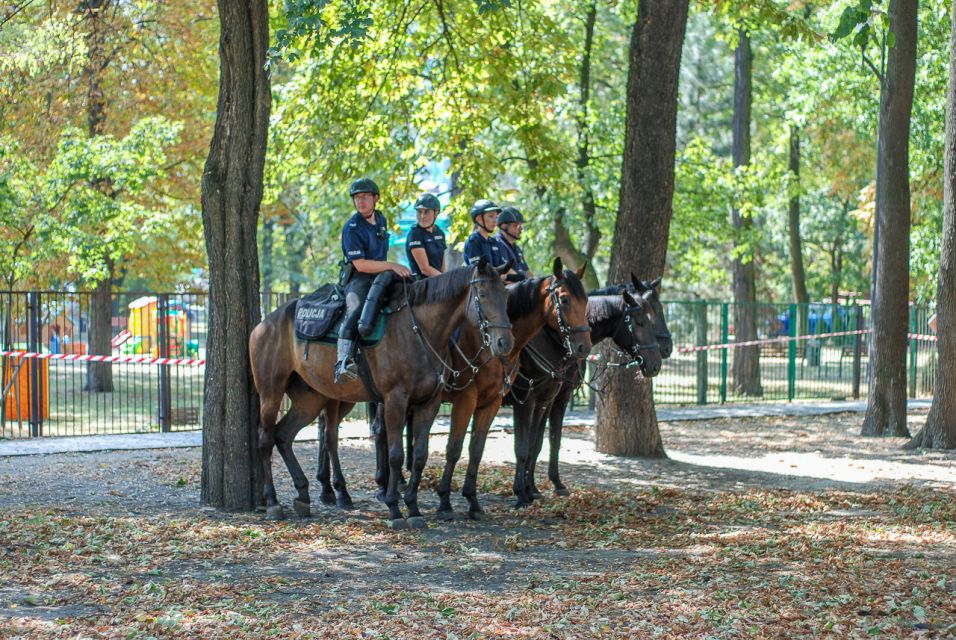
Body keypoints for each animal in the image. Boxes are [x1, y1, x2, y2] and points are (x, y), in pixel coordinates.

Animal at [250, 258, 512, 528]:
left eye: (505, 296)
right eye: (482, 294)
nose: (504, 343)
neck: (419, 330)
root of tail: (265, 323)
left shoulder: (430, 403)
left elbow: (420, 455)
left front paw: (414, 508)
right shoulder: (397, 400)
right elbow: (396, 454)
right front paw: (394, 508)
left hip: (311, 399)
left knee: (285, 435)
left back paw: (303, 494)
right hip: (272, 393)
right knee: (267, 438)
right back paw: (274, 501)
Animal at [508, 276, 672, 504]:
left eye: (659, 310)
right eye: (642, 320)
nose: (662, 355)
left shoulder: (551, 399)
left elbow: (541, 441)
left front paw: (537, 487)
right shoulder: (536, 399)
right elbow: (530, 444)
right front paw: (530, 489)